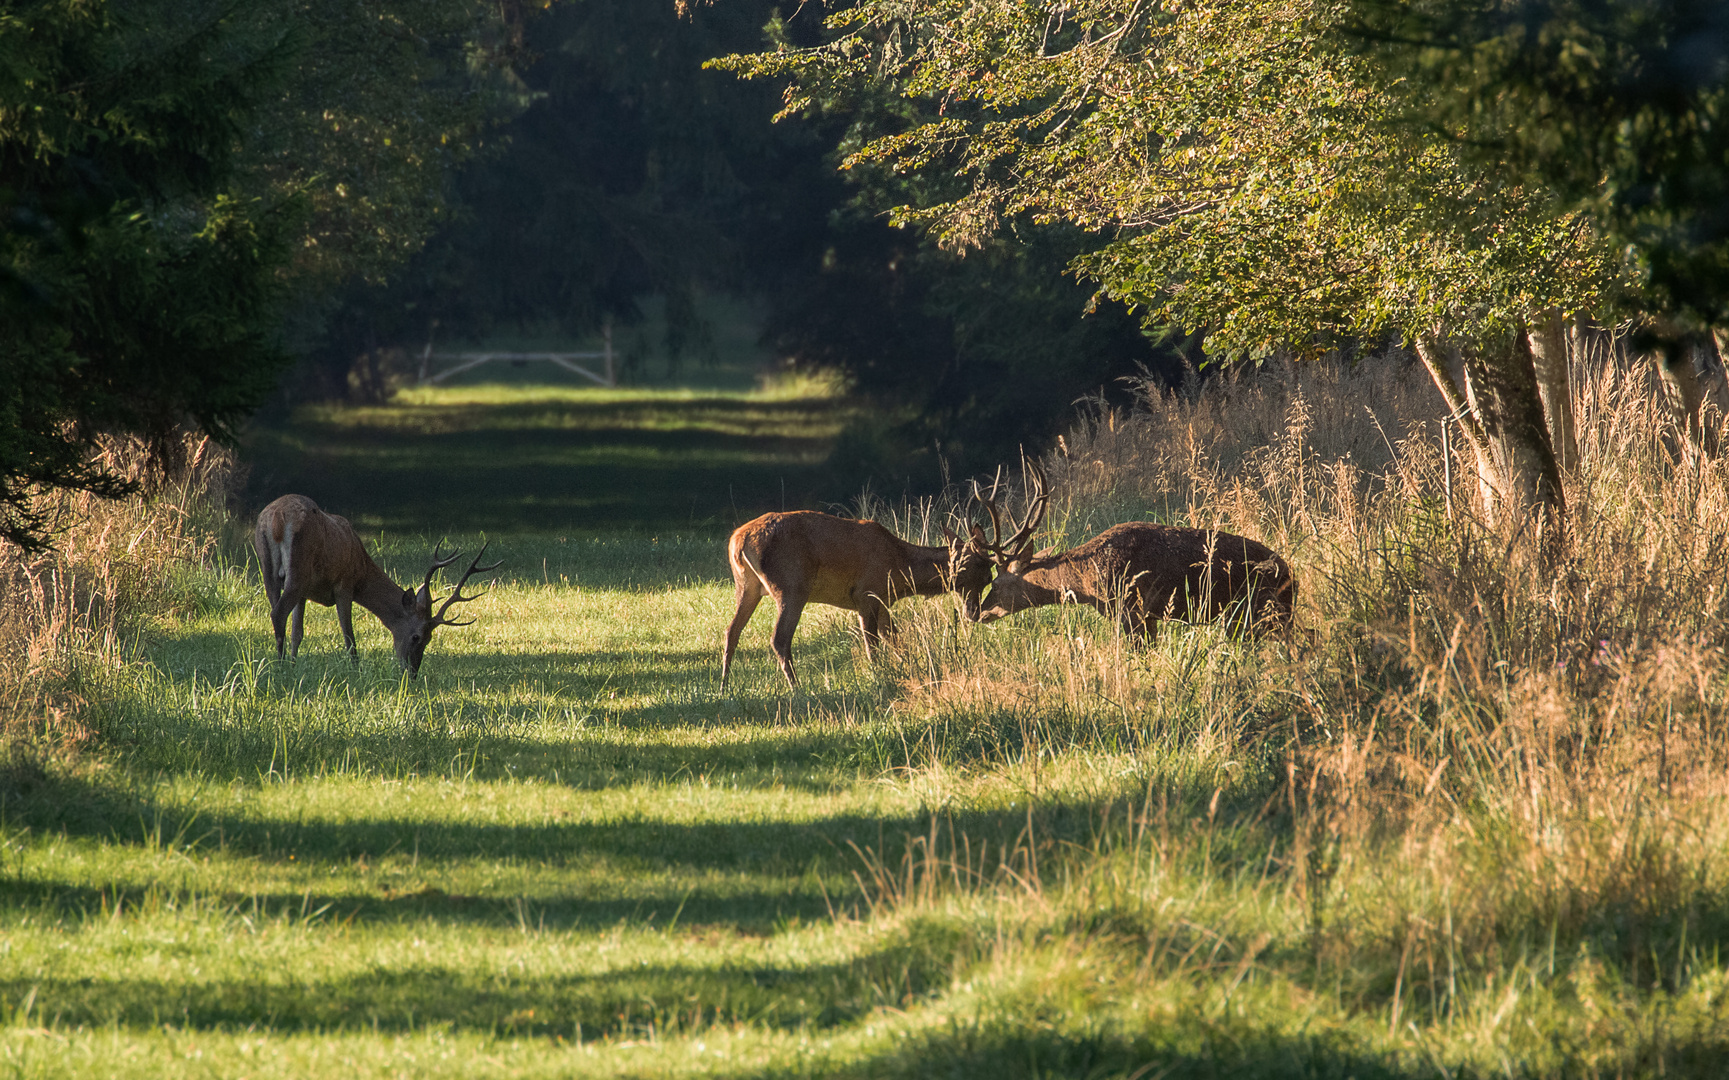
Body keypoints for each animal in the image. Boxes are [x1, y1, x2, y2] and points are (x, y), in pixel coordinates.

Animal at [252, 494, 504, 673]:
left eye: (430, 638)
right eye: (417, 636)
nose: (412, 672)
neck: (361, 568)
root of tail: (277, 518)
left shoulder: (307, 592)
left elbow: (298, 632)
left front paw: (295, 665)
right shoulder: (344, 584)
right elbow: (349, 635)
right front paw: (356, 671)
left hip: (268, 567)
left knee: (276, 609)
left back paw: (282, 666)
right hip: (298, 569)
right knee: (277, 613)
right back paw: (280, 668)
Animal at [715, 508, 1009, 691]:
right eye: (986, 575)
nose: (974, 612)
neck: (899, 569)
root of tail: (738, 540)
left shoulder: (883, 601)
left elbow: (895, 641)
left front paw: (908, 670)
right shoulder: (866, 593)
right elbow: (873, 645)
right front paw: (879, 678)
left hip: (746, 586)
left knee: (731, 631)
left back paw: (724, 686)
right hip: (791, 586)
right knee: (779, 639)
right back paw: (797, 688)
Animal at [975, 459, 1300, 632]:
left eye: (997, 583)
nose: (979, 612)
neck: (1087, 580)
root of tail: (1292, 576)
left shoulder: (1131, 610)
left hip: (1259, 612)